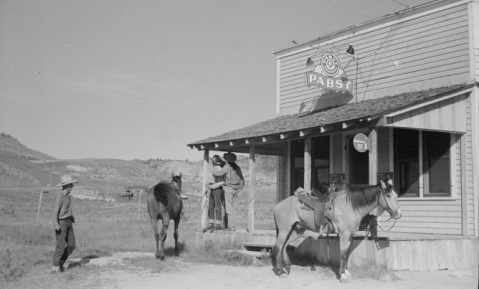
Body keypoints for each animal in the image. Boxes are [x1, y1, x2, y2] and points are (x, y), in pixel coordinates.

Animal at [274, 178, 402, 282]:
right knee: (279, 247)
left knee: (284, 246)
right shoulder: (344, 234)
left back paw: (287, 267)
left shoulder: (350, 235)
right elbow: (342, 253)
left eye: (396, 195)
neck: (351, 206)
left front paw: (346, 272)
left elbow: (346, 253)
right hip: (284, 230)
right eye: (388, 195)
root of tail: (278, 205)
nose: (399, 214)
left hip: (295, 231)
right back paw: (280, 272)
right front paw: (342, 275)